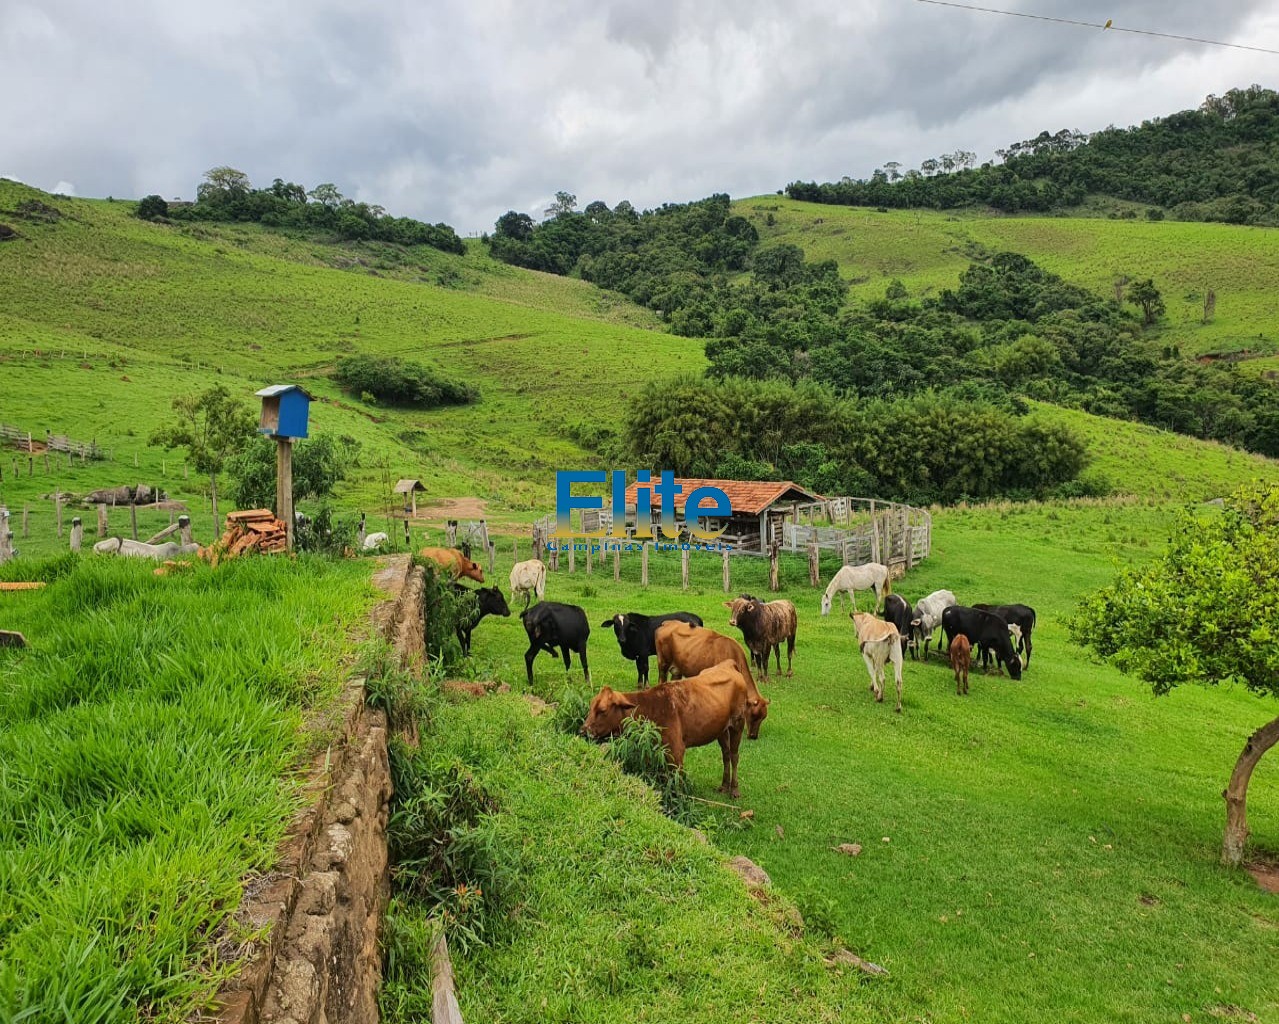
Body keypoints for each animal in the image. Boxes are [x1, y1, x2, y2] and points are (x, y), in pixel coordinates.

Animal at [585, 664, 752, 797]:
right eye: (591, 707)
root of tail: (729, 665)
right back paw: (724, 786)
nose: (583, 730)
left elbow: (676, 782)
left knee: (734, 755)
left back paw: (734, 789)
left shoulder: (676, 752)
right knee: (726, 754)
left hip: (738, 724)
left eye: (602, 710)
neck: (651, 707)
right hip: (722, 731)